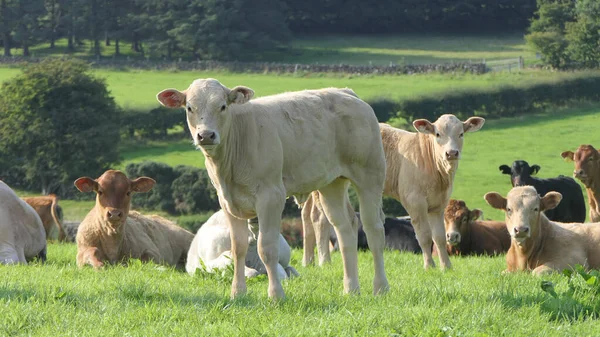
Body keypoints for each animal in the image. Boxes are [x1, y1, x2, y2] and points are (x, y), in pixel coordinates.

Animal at [157, 77, 386, 298]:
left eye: (222, 106)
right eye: (189, 108)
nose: (205, 135)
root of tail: (345, 92)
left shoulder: (271, 196)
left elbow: (267, 248)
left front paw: (276, 294)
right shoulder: (228, 202)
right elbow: (238, 247)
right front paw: (237, 293)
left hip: (370, 176)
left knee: (373, 229)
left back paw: (380, 288)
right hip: (332, 184)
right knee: (345, 228)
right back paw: (351, 289)